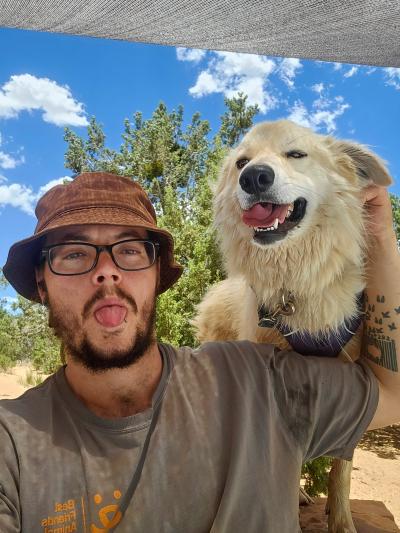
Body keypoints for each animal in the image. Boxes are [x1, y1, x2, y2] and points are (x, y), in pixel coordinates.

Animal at [192, 120, 392, 532]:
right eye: (241, 162)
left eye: (296, 154)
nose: (254, 177)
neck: (295, 280)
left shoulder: (352, 378)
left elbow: (341, 468)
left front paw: (341, 520)